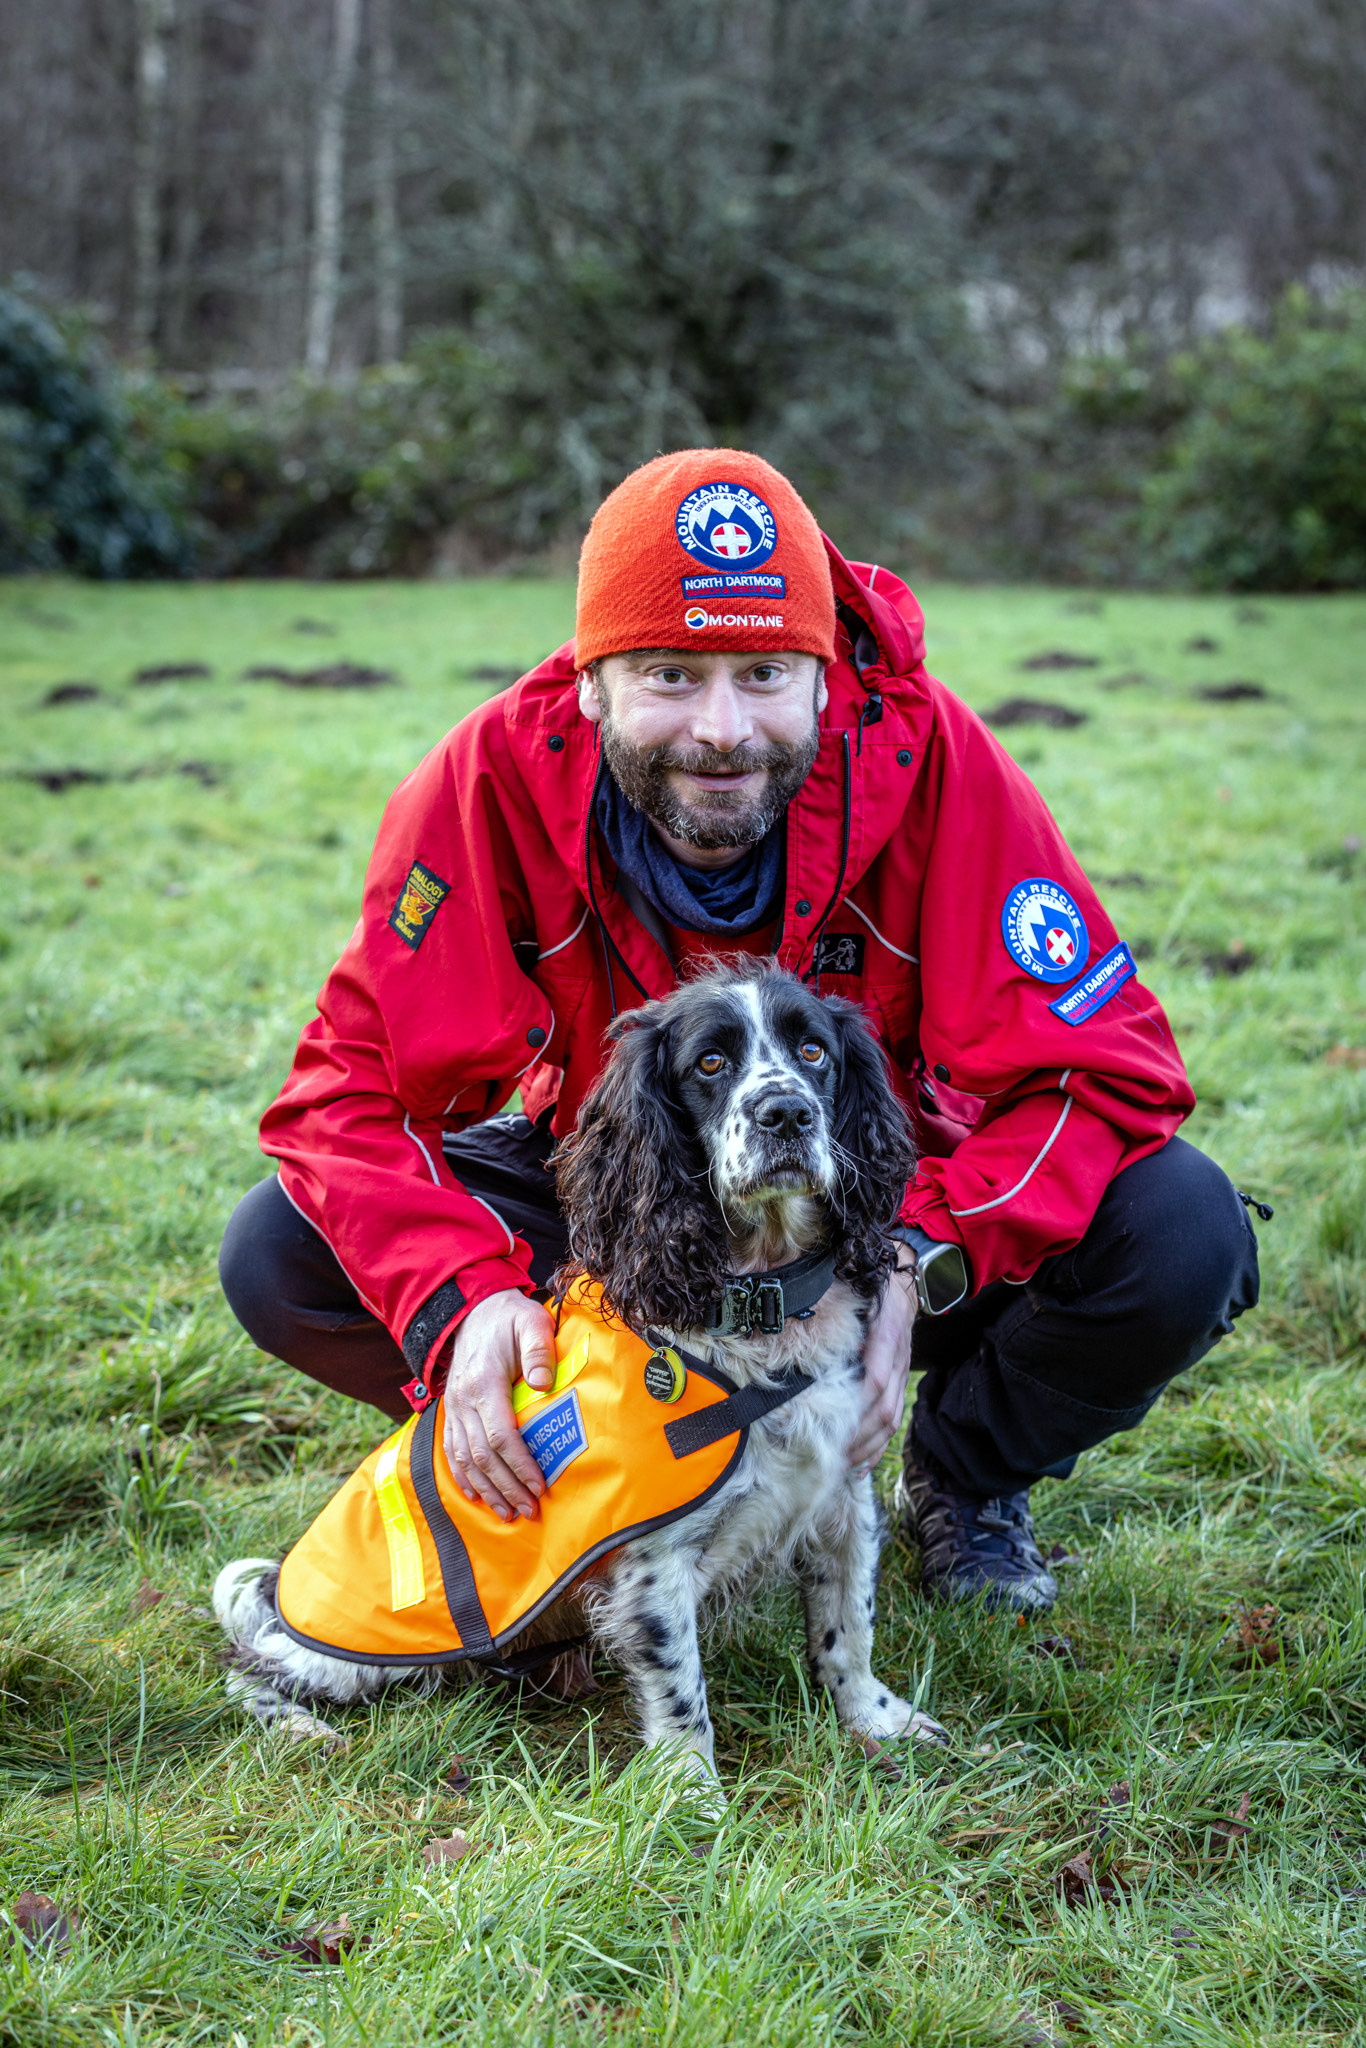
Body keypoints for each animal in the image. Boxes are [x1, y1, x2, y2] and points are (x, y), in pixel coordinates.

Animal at [219, 958, 946, 1794]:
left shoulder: (842, 1494)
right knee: (249, 1664)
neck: (762, 1304)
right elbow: (681, 1691)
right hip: (356, 1650)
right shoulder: (654, 1561)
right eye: (710, 1062)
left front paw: (879, 1722)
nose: (787, 1112)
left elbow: (847, 1629)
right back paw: (298, 1729)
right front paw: (694, 1798)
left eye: (815, 1051)